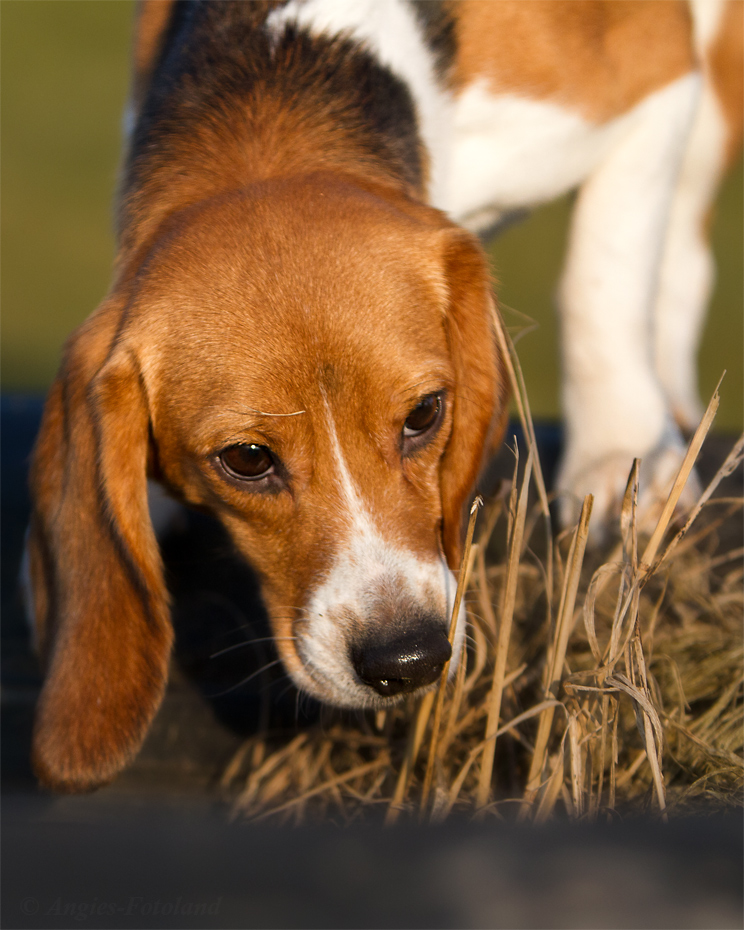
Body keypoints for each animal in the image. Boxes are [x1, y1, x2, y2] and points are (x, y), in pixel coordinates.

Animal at [26, 1, 740, 792]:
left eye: (424, 414)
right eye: (246, 459)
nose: (408, 659)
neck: (278, 66)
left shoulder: (653, 76)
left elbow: (602, 276)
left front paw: (621, 452)